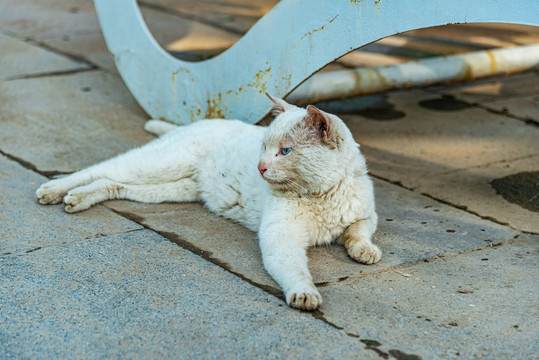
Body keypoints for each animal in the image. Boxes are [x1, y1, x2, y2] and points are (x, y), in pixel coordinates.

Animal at [37, 94, 380, 310]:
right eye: (264, 147)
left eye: (285, 151)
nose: (259, 167)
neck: (322, 195)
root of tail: (199, 122)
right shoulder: (280, 236)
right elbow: (294, 269)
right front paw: (305, 293)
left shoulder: (366, 214)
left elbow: (357, 232)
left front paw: (365, 251)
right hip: (156, 164)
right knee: (99, 169)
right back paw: (54, 189)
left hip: (169, 188)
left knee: (110, 183)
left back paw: (78, 198)